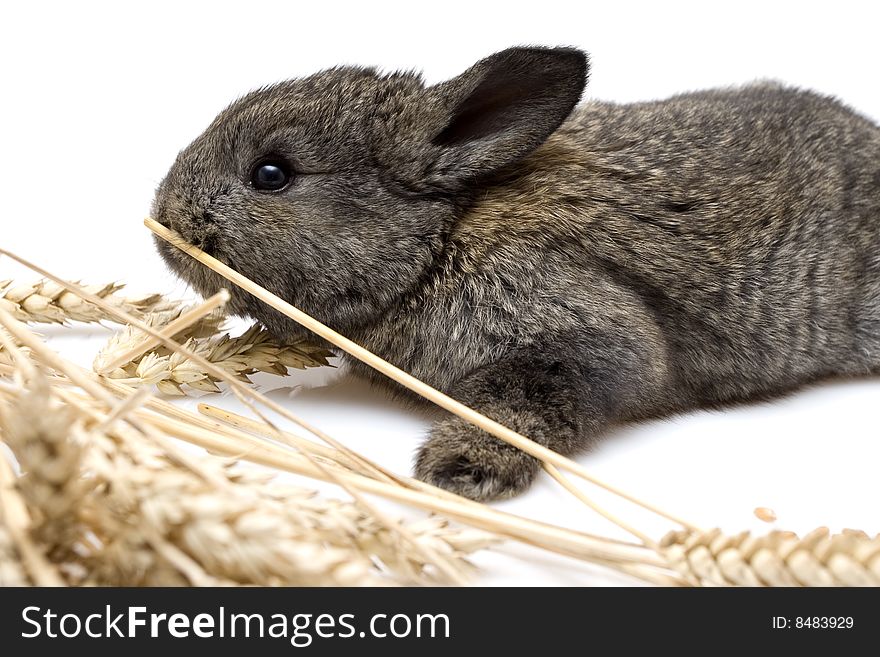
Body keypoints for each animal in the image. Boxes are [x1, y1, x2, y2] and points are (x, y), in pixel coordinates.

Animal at [155, 46, 880, 500]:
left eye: (271, 174)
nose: (165, 217)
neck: (441, 237)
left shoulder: (580, 339)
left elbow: (519, 403)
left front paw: (459, 468)